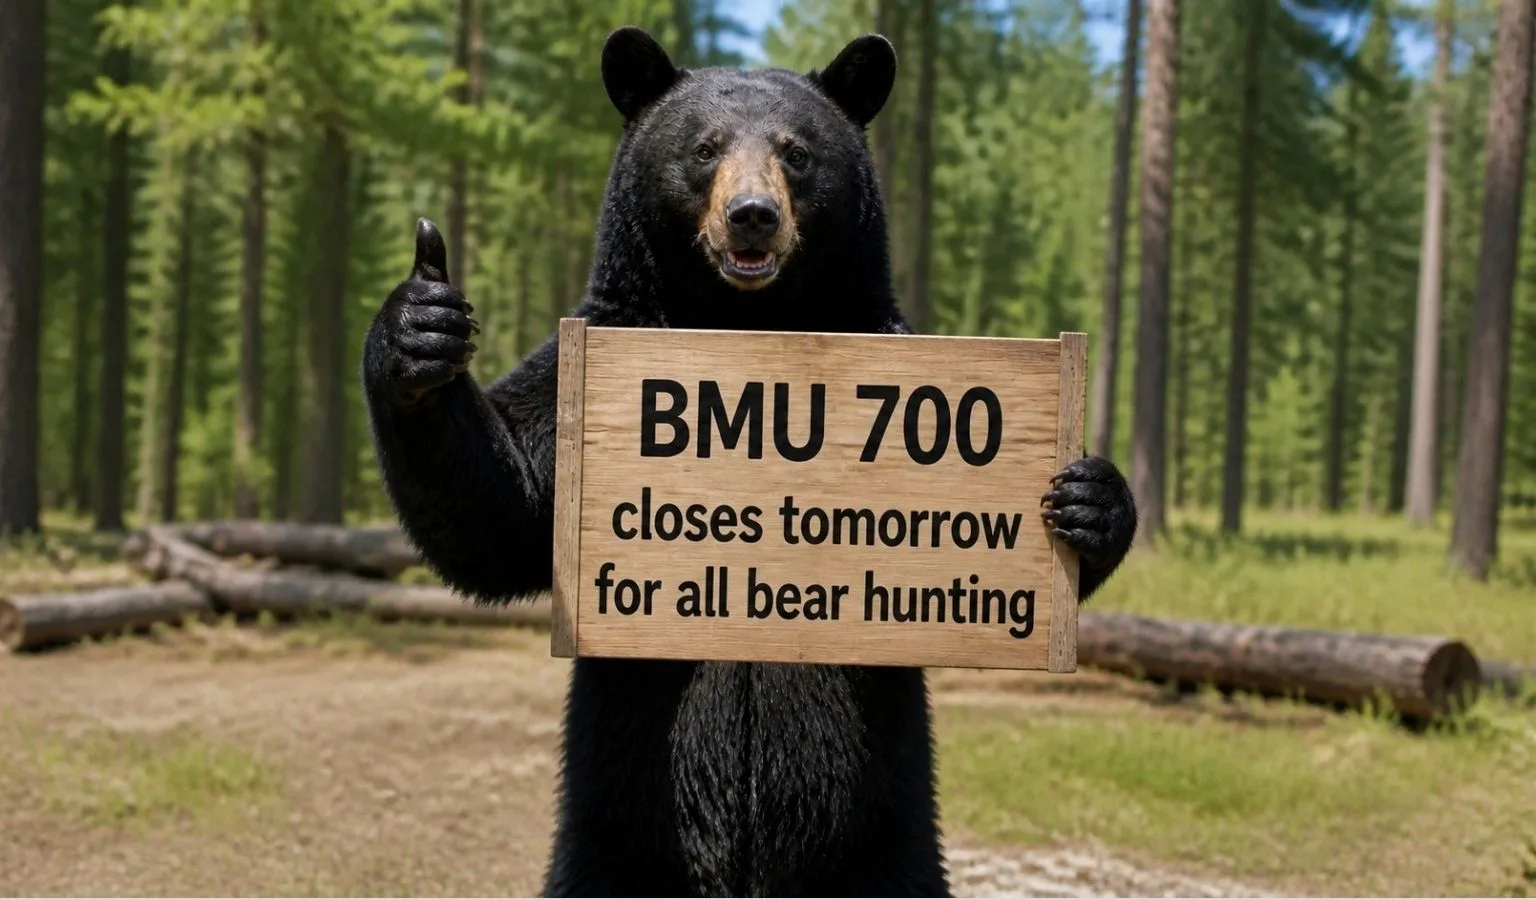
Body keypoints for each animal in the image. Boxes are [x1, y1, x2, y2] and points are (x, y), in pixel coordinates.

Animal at [361, 26, 1138, 897]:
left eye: (796, 152)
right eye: (704, 148)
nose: (753, 217)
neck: (741, 320)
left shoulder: (885, 335)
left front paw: (1089, 499)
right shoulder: (590, 360)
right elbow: (507, 511)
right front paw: (421, 323)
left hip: (891, 837)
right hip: (613, 829)